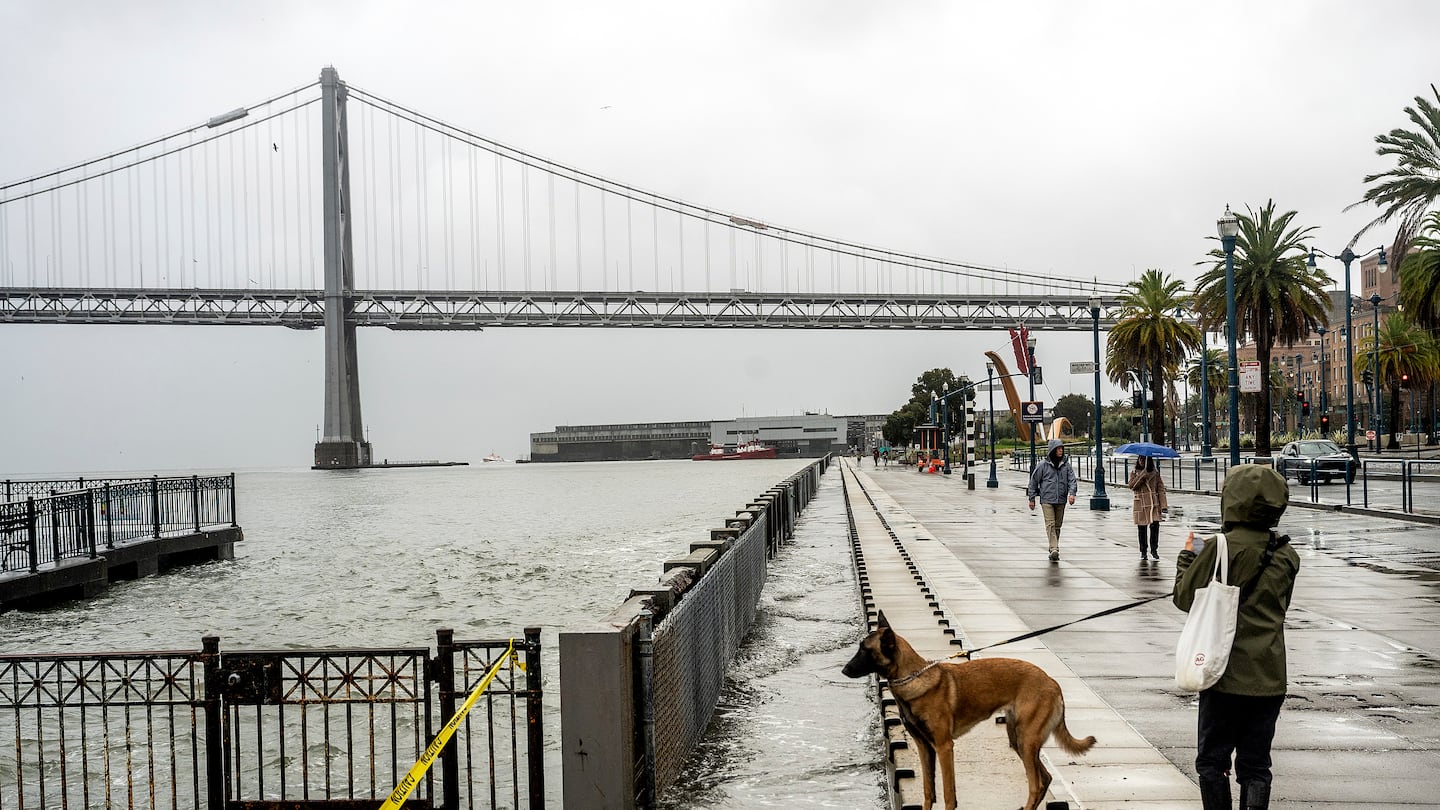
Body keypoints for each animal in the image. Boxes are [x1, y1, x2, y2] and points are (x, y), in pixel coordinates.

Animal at [840, 608, 1094, 807]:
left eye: (865, 650)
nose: (844, 669)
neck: (913, 677)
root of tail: (1052, 681)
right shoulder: (924, 747)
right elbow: (928, 791)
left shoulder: (944, 747)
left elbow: (948, 793)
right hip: (1018, 740)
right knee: (1045, 779)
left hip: (1026, 739)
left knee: (1036, 784)